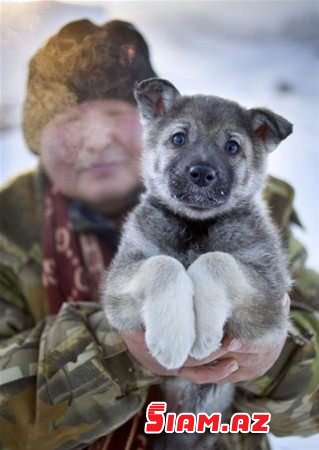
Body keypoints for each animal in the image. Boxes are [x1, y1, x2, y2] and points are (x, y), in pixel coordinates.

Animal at [102, 79, 292, 448]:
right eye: (178, 138)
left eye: (232, 146)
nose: (202, 173)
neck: (196, 227)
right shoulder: (118, 285)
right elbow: (163, 265)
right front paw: (173, 338)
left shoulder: (270, 299)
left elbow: (217, 260)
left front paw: (203, 331)